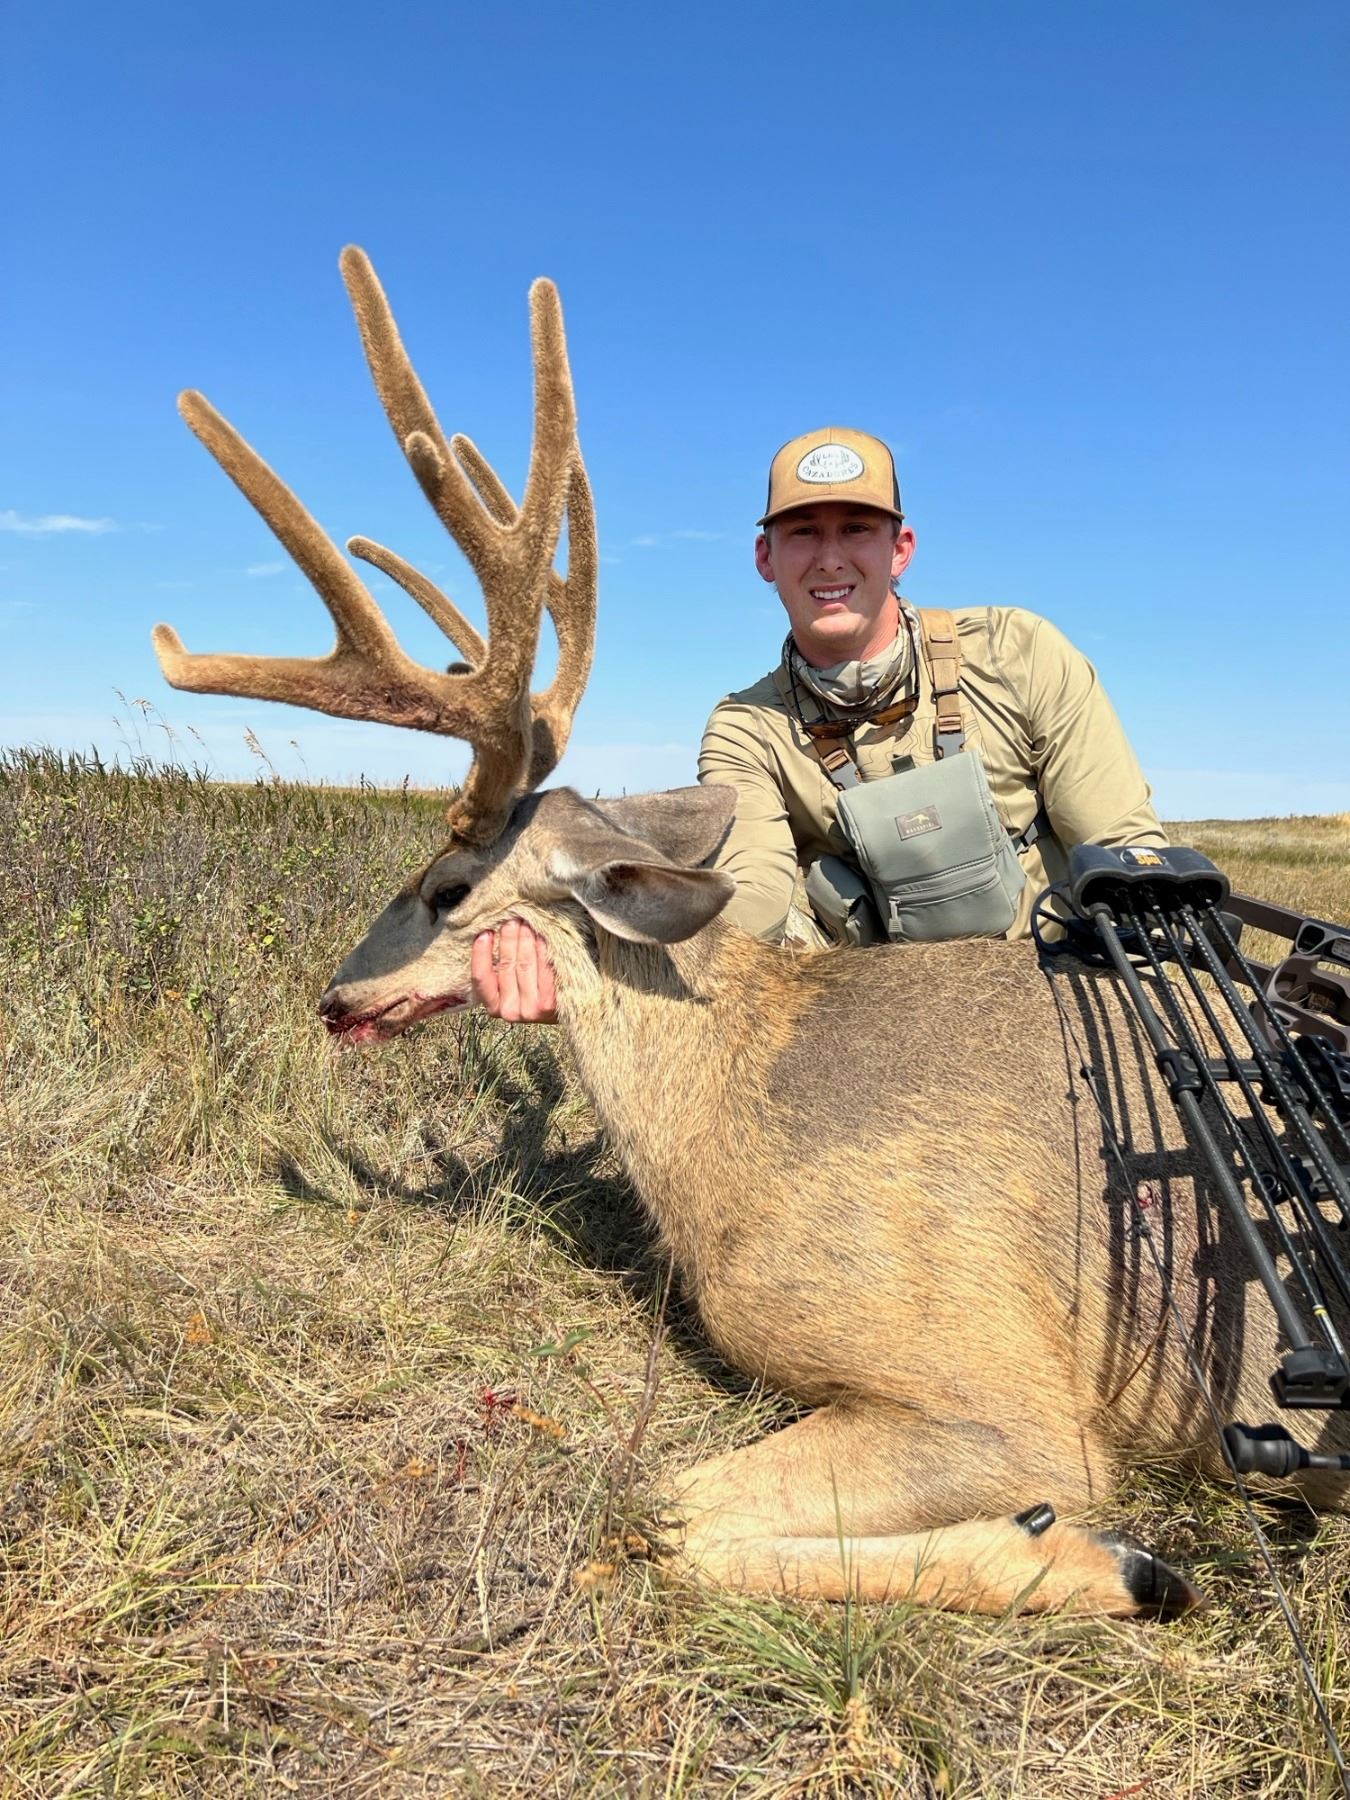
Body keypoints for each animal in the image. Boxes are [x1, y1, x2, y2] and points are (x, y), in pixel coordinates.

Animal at [153, 248, 1350, 1620]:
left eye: (448, 885)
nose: (337, 996)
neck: (733, 1115)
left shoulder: (1002, 1385)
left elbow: (663, 1514)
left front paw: (1119, 1558)